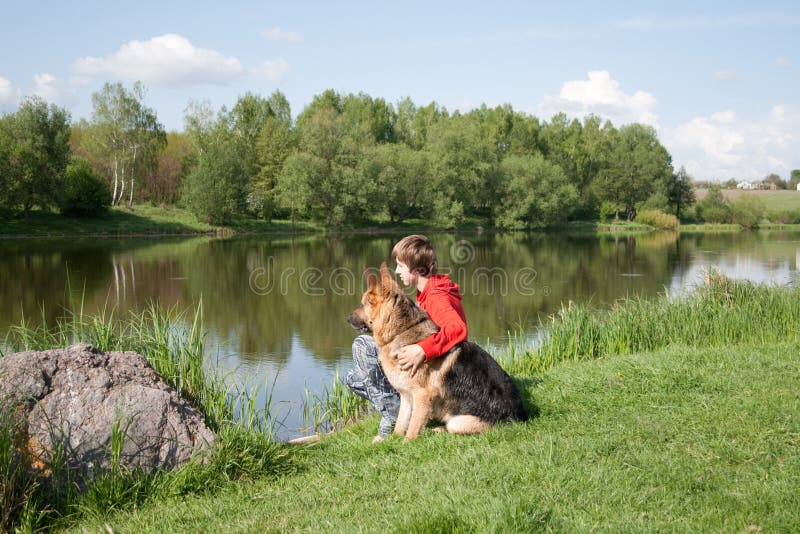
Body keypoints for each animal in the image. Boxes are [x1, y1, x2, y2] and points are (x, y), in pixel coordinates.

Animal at [346, 264, 528, 444]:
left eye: (364, 303)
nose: (347, 319)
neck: (402, 331)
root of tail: (520, 417)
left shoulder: (421, 396)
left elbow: (412, 428)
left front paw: (406, 444)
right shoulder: (406, 396)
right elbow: (400, 423)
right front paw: (393, 439)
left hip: (458, 421)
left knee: (455, 430)